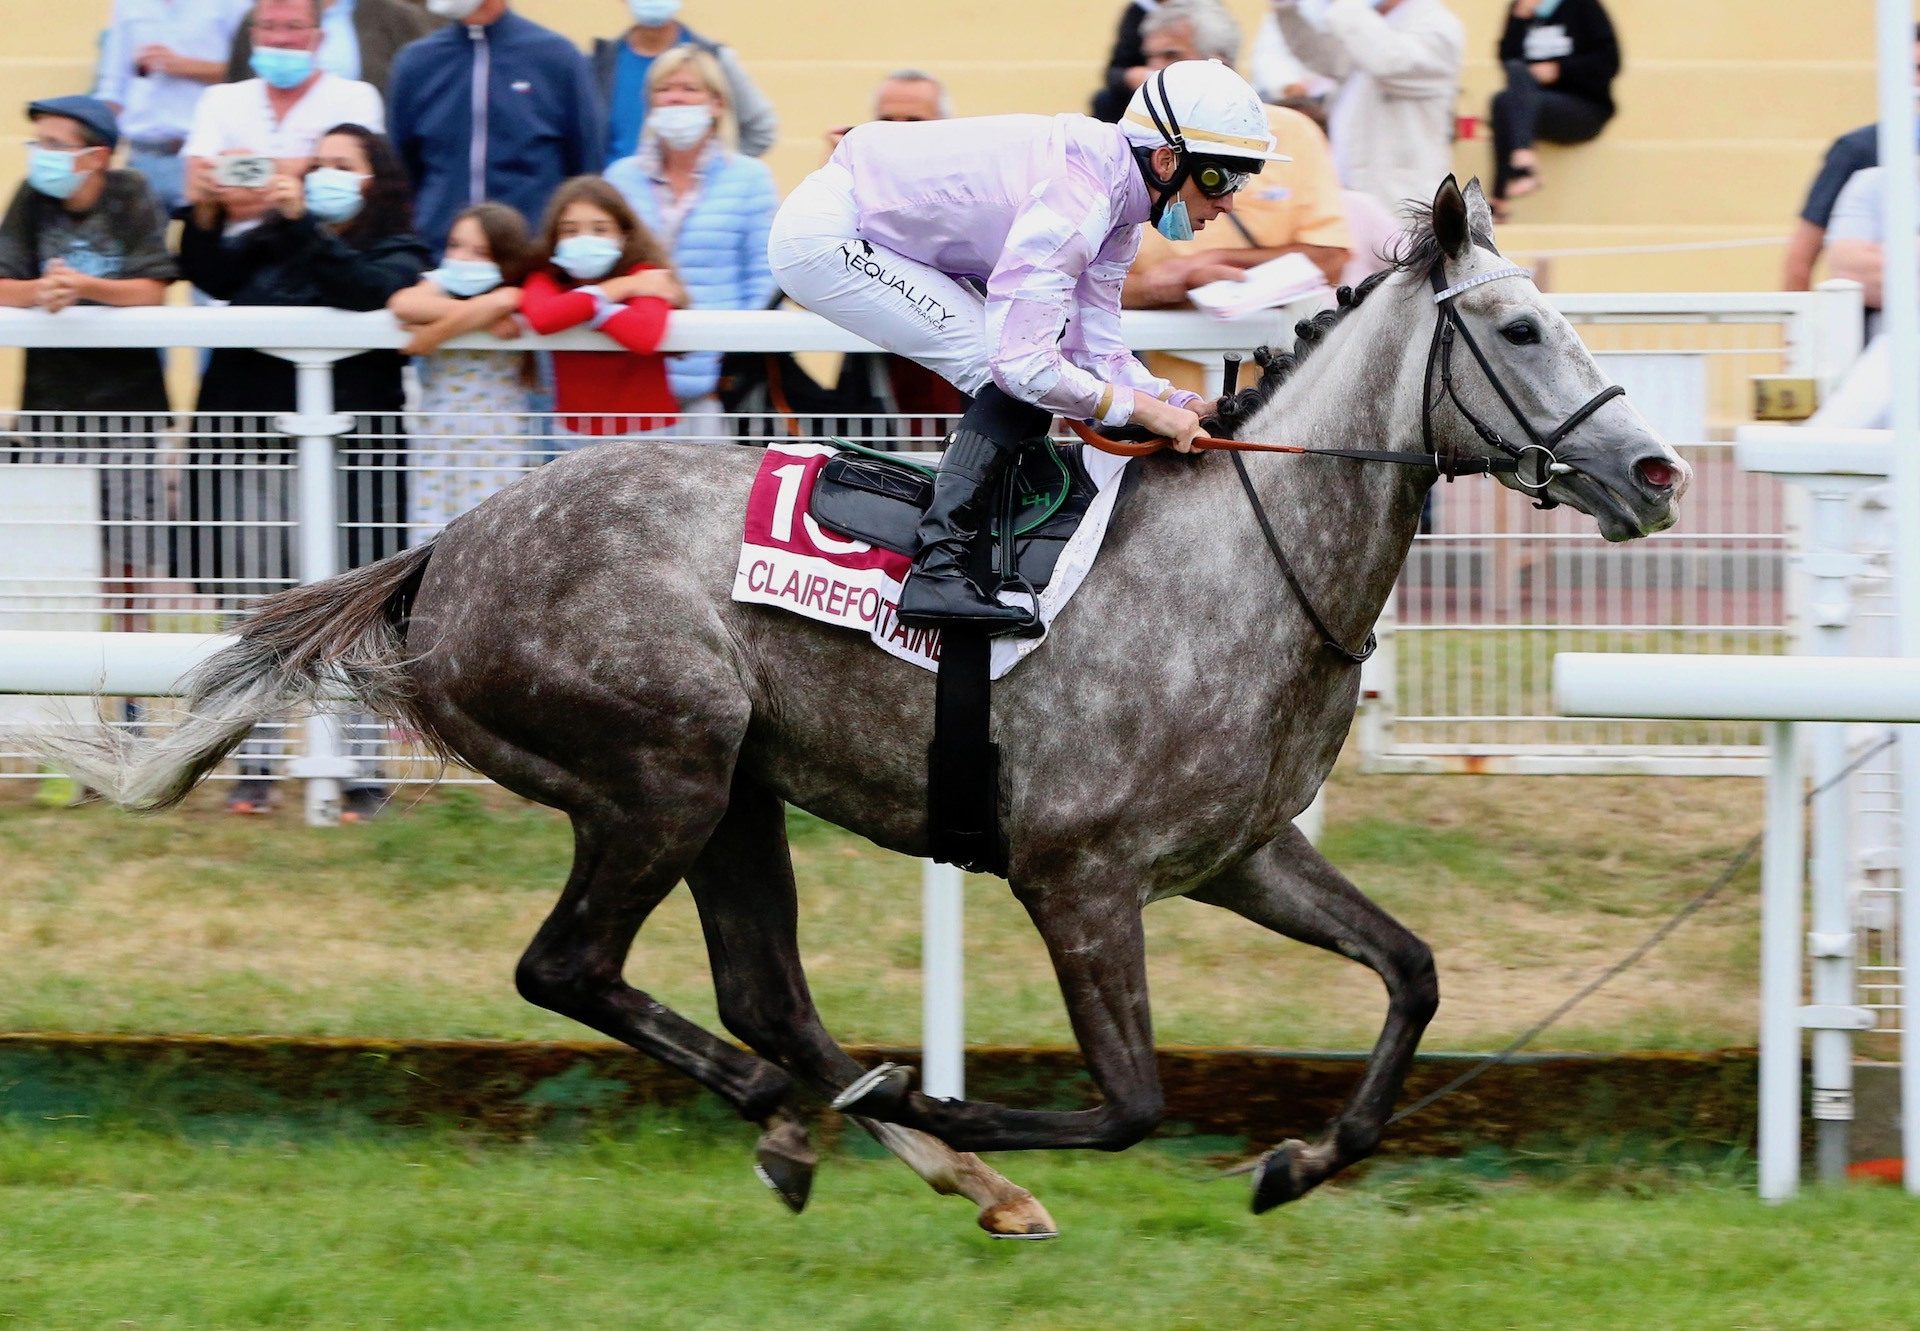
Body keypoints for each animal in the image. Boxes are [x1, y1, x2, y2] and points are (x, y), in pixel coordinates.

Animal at [48, 179, 1697, 1236]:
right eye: (1523, 329)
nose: (1657, 470)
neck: (1246, 557)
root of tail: (445, 548)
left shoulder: (1243, 853)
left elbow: (1413, 971)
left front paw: (1300, 1159)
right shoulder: (1078, 874)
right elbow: (1132, 1098)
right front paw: (967, 1112)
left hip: (736, 788)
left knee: (759, 992)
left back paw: (874, 1134)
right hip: (658, 768)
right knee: (571, 966)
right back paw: (840, 1120)